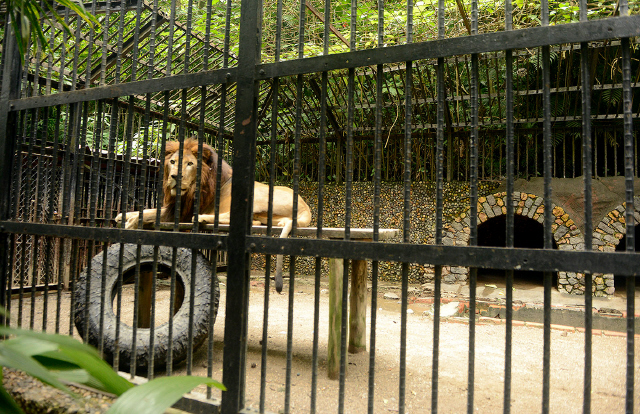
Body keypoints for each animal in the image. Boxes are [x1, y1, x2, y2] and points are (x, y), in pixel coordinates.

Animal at [117, 137, 316, 292]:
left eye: (190, 164)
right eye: (172, 162)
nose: (175, 177)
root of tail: (306, 207)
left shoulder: (184, 212)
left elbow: (147, 214)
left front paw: (130, 222)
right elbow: (148, 210)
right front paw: (122, 215)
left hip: (256, 194)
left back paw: (201, 219)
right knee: (259, 222)